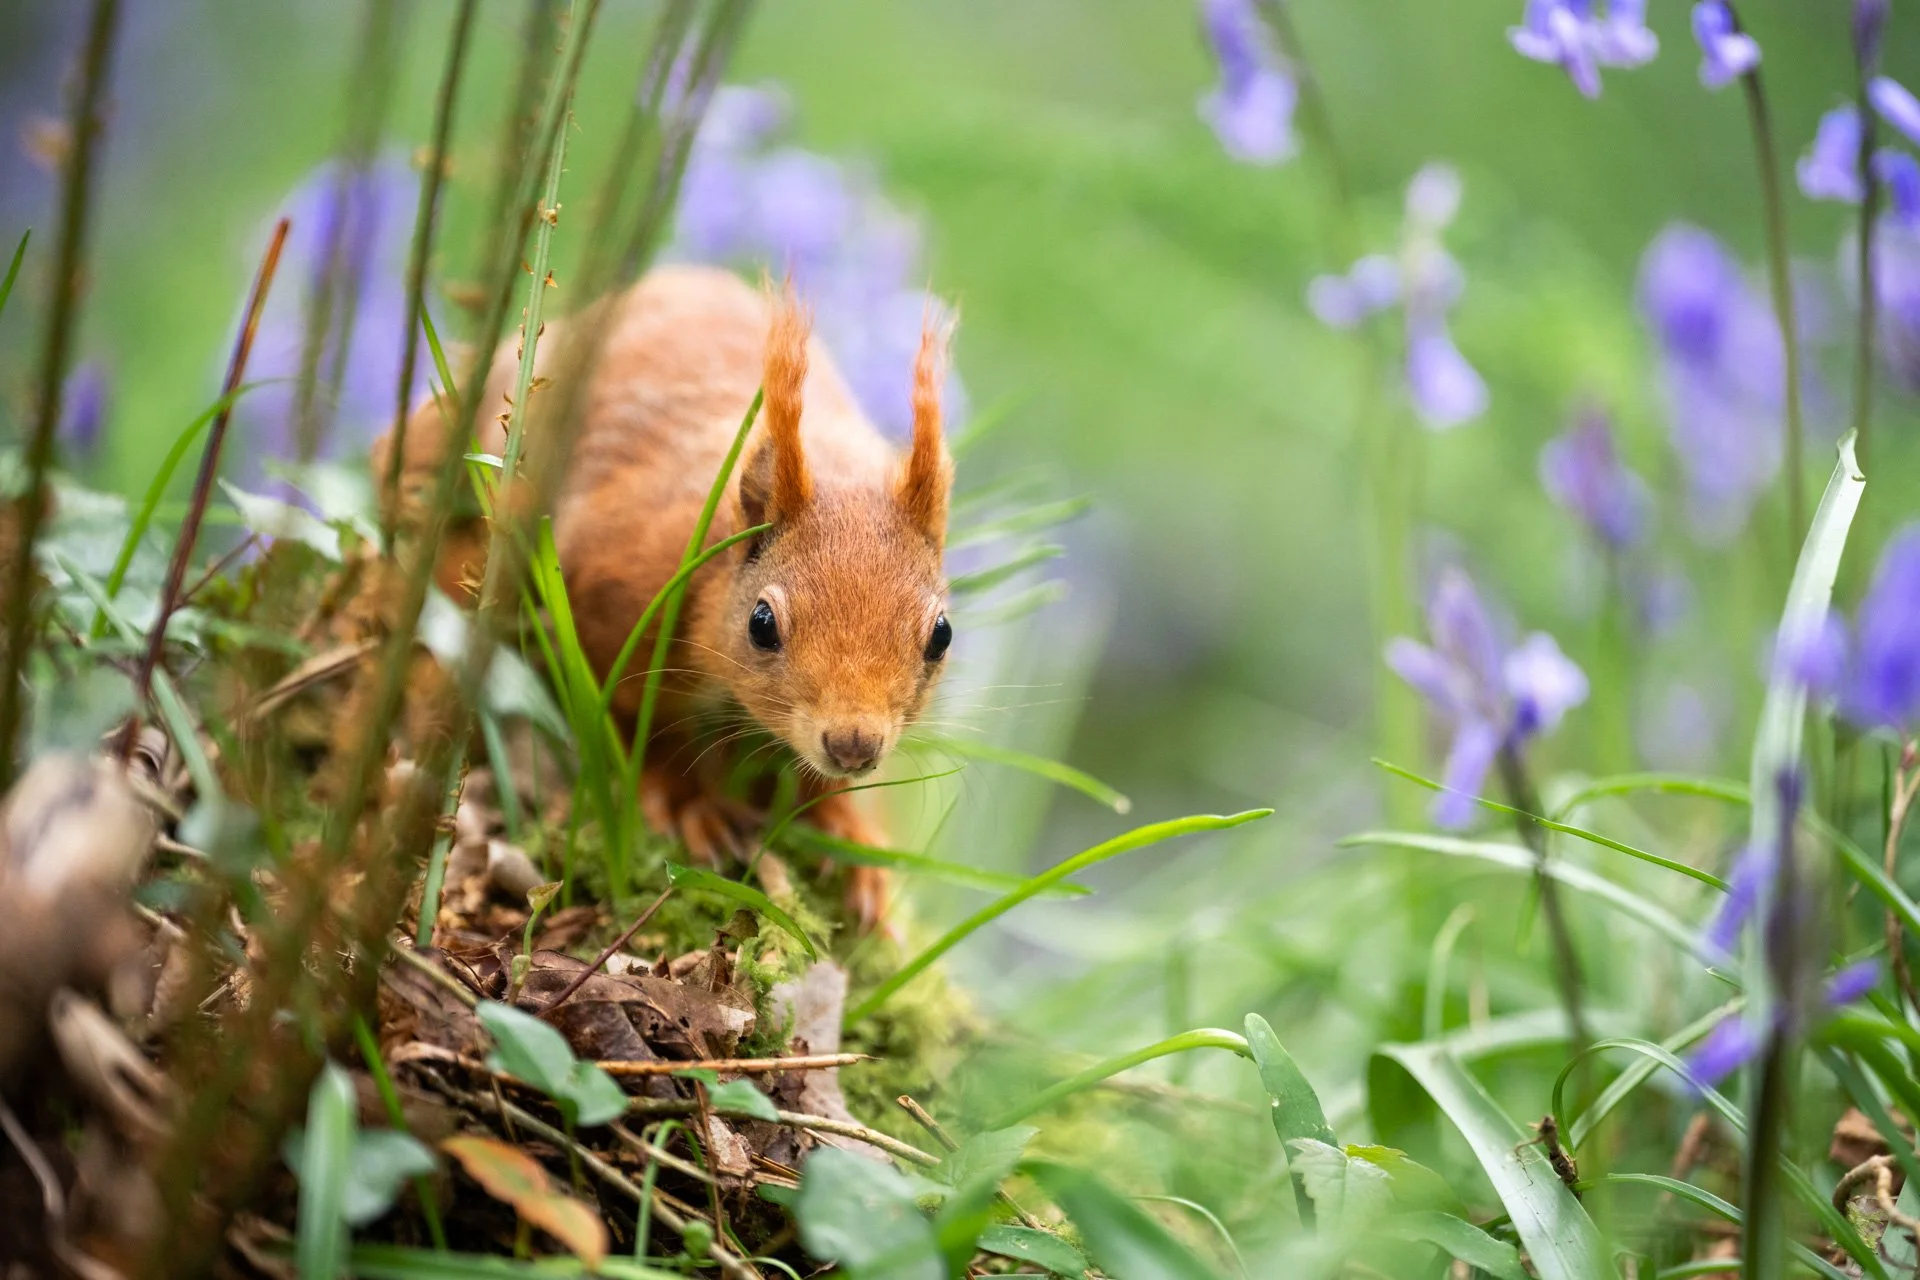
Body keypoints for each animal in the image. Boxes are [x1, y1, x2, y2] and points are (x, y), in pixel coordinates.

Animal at [379, 265, 956, 931]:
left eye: (941, 635)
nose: (853, 745)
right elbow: (641, 723)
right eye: (761, 624)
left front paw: (846, 833)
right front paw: (689, 804)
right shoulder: (615, 598)